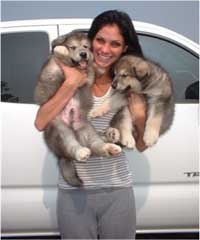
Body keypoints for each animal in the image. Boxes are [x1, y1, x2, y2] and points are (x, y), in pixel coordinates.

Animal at [34, 31, 121, 186]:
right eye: (73, 47)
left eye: (86, 47)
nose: (83, 54)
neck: (77, 67)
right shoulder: (55, 68)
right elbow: (59, 54)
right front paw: (61, 50)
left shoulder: (88, 78)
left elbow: (93, 67)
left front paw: (99, 67)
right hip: (61, 132)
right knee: (72, 146)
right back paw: (81, 152)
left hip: (86, 130)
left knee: (97, 145)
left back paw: (110, 147)